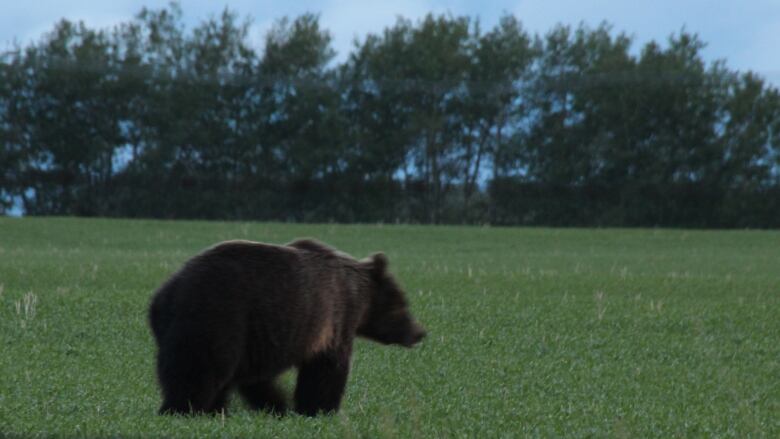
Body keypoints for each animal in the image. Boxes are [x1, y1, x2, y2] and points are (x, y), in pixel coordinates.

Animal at [146, 239, 426, 418]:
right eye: (404, 303)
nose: (420, 332)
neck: (358, 294)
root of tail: (165, 294)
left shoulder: (257, 340)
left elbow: (254, 378)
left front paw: (277, 406)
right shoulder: (334, 317)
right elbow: (326, 369)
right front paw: (318, 409)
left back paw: (212, 409)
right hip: (215, 317)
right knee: (197, 370)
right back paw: (180, 409)